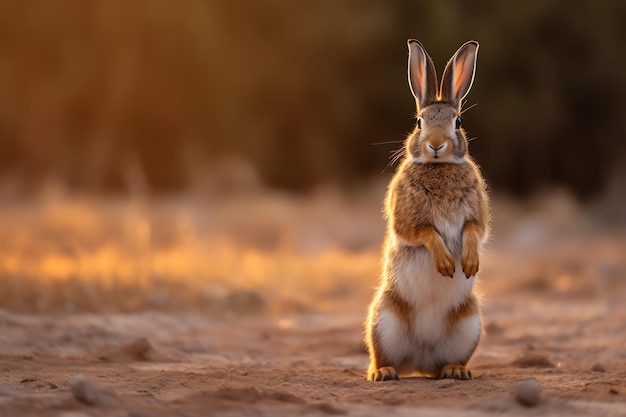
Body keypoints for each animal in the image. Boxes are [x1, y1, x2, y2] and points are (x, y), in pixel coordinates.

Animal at [366, 39, 488, 380]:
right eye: (419, 122)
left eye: (458, 122)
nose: (435, 144)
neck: (439, 166)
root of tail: (419, 359)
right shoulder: (407, 219)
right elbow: (424, 233)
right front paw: (446, 263)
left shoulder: (476, 213)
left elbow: (474, 230)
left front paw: (468, 263)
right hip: (383, 320)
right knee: (381, 357)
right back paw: (383, 373)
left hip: (469, 323)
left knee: (446, 362)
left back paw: (455, 371)